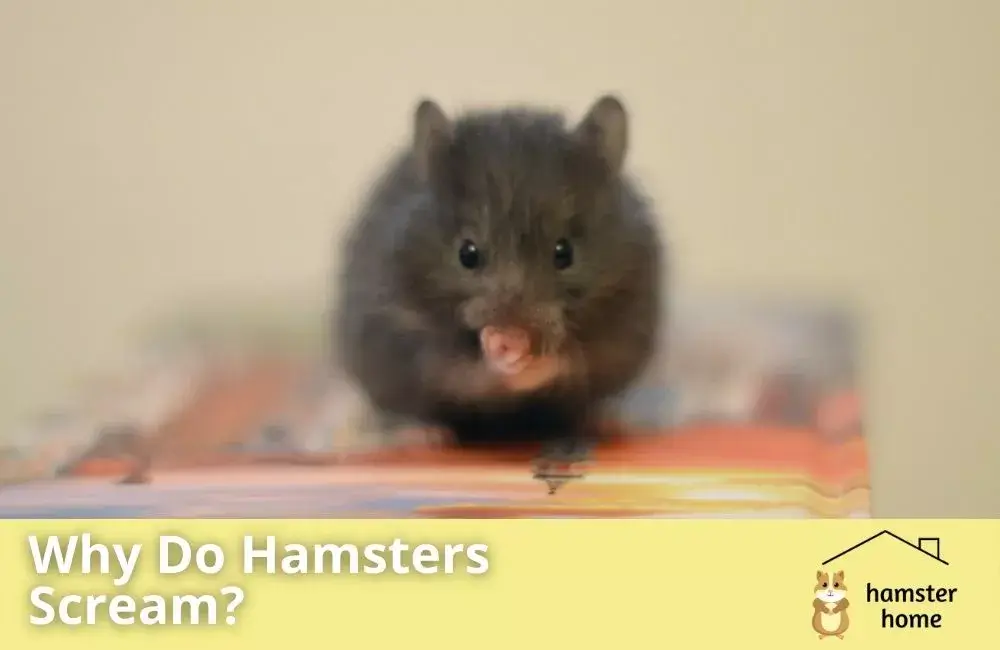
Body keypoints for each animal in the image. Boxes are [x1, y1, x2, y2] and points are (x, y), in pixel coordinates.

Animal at [332, 94, 664, 474]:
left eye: (564, 252)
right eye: (467, 253)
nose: (511, 332)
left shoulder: (619, 332)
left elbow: (567, 362)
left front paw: (529, 361)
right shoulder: (411, 337)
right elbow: (466, 369)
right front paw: (499, 349)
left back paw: (609, 421)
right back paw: (418, 436)